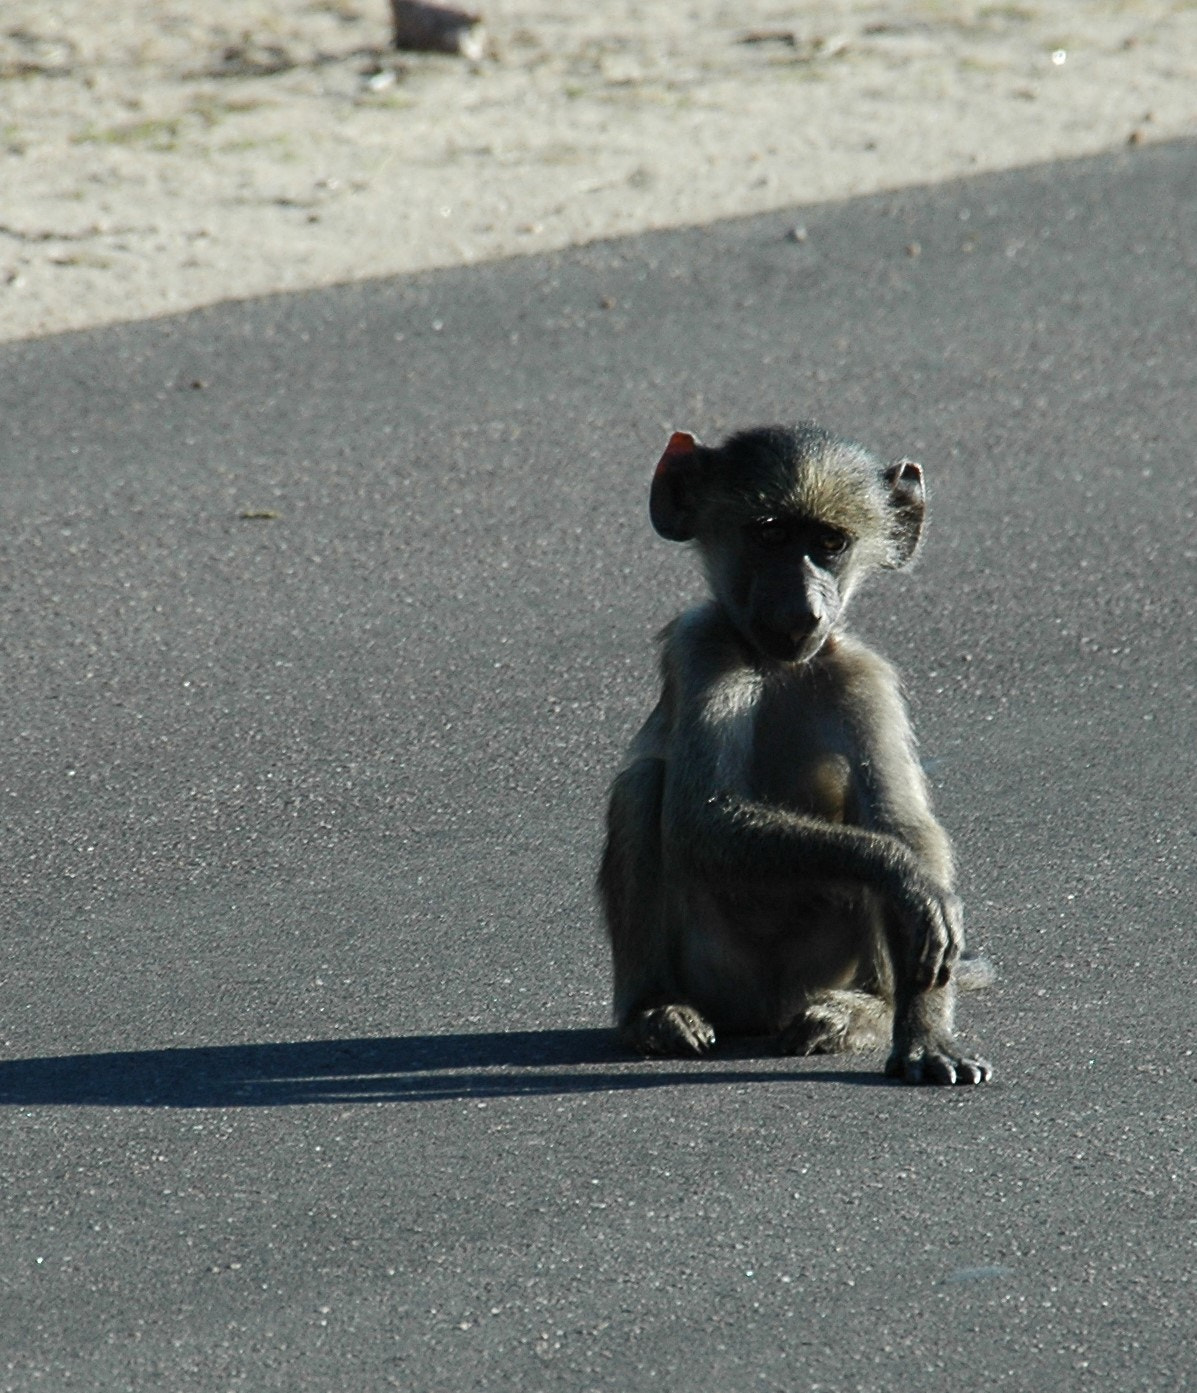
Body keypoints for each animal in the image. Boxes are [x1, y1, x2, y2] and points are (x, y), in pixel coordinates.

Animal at [598, 423, 992, 1085]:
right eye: (771, 534)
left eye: (830, 543)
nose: (803, 610)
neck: (779, 667)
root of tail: (767, 1010)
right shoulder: (702, 646)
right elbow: (704, 816)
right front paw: (904, 877)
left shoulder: (865, 678)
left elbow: (900, 823)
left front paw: (928, 1037)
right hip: (713, 971)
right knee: (644, 785)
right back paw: (655, 1012)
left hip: (826, 965)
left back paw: (862, 1013)